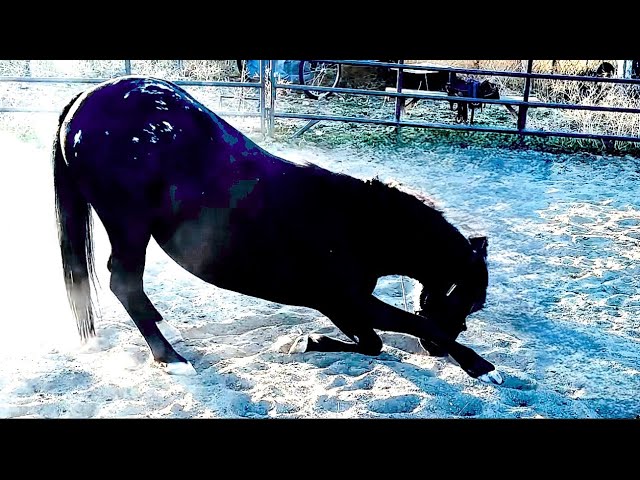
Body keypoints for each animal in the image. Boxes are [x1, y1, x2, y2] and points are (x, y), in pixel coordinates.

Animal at [52, 74, 502, 382]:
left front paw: (308, 342)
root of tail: (85, 99)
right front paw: (482, 367)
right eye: (469, 302)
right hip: (129, 226)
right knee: (124, 283)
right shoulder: (346, 300)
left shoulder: (341, 306)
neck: (358, 225)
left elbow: (373, 343)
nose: (434, 352)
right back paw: (172, 358)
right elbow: (411, 325)